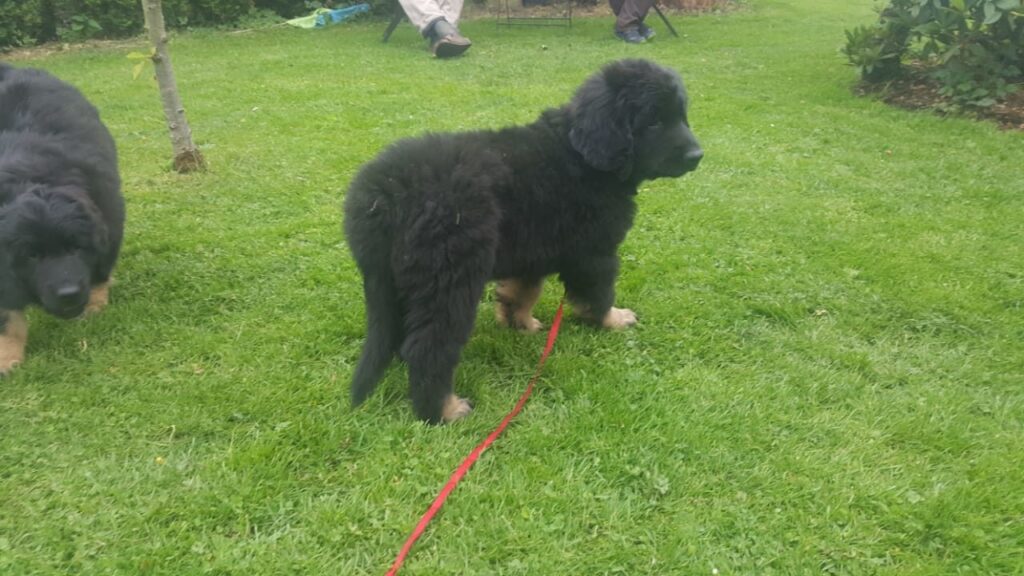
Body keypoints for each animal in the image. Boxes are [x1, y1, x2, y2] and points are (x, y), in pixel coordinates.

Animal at [0, 63, 124, 374]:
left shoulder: (110, 213)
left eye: (75, 248)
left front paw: (94, 305)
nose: (68, 293)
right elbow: (6, 313)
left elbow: (100, 267)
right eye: (31, 256)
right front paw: (6, 356)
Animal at [344, 59, 702, 423]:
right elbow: (599, 294)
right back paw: (444, 410)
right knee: (429, 347)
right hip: (450, 276)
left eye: (681, 115)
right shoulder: (594, 252)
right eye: (654, 121)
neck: (580, 154)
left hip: (398, 279)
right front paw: (613, 319)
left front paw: (520, 324)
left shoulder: (533, 248)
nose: (697, 155)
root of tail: (383, 196)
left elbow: (523, 292)